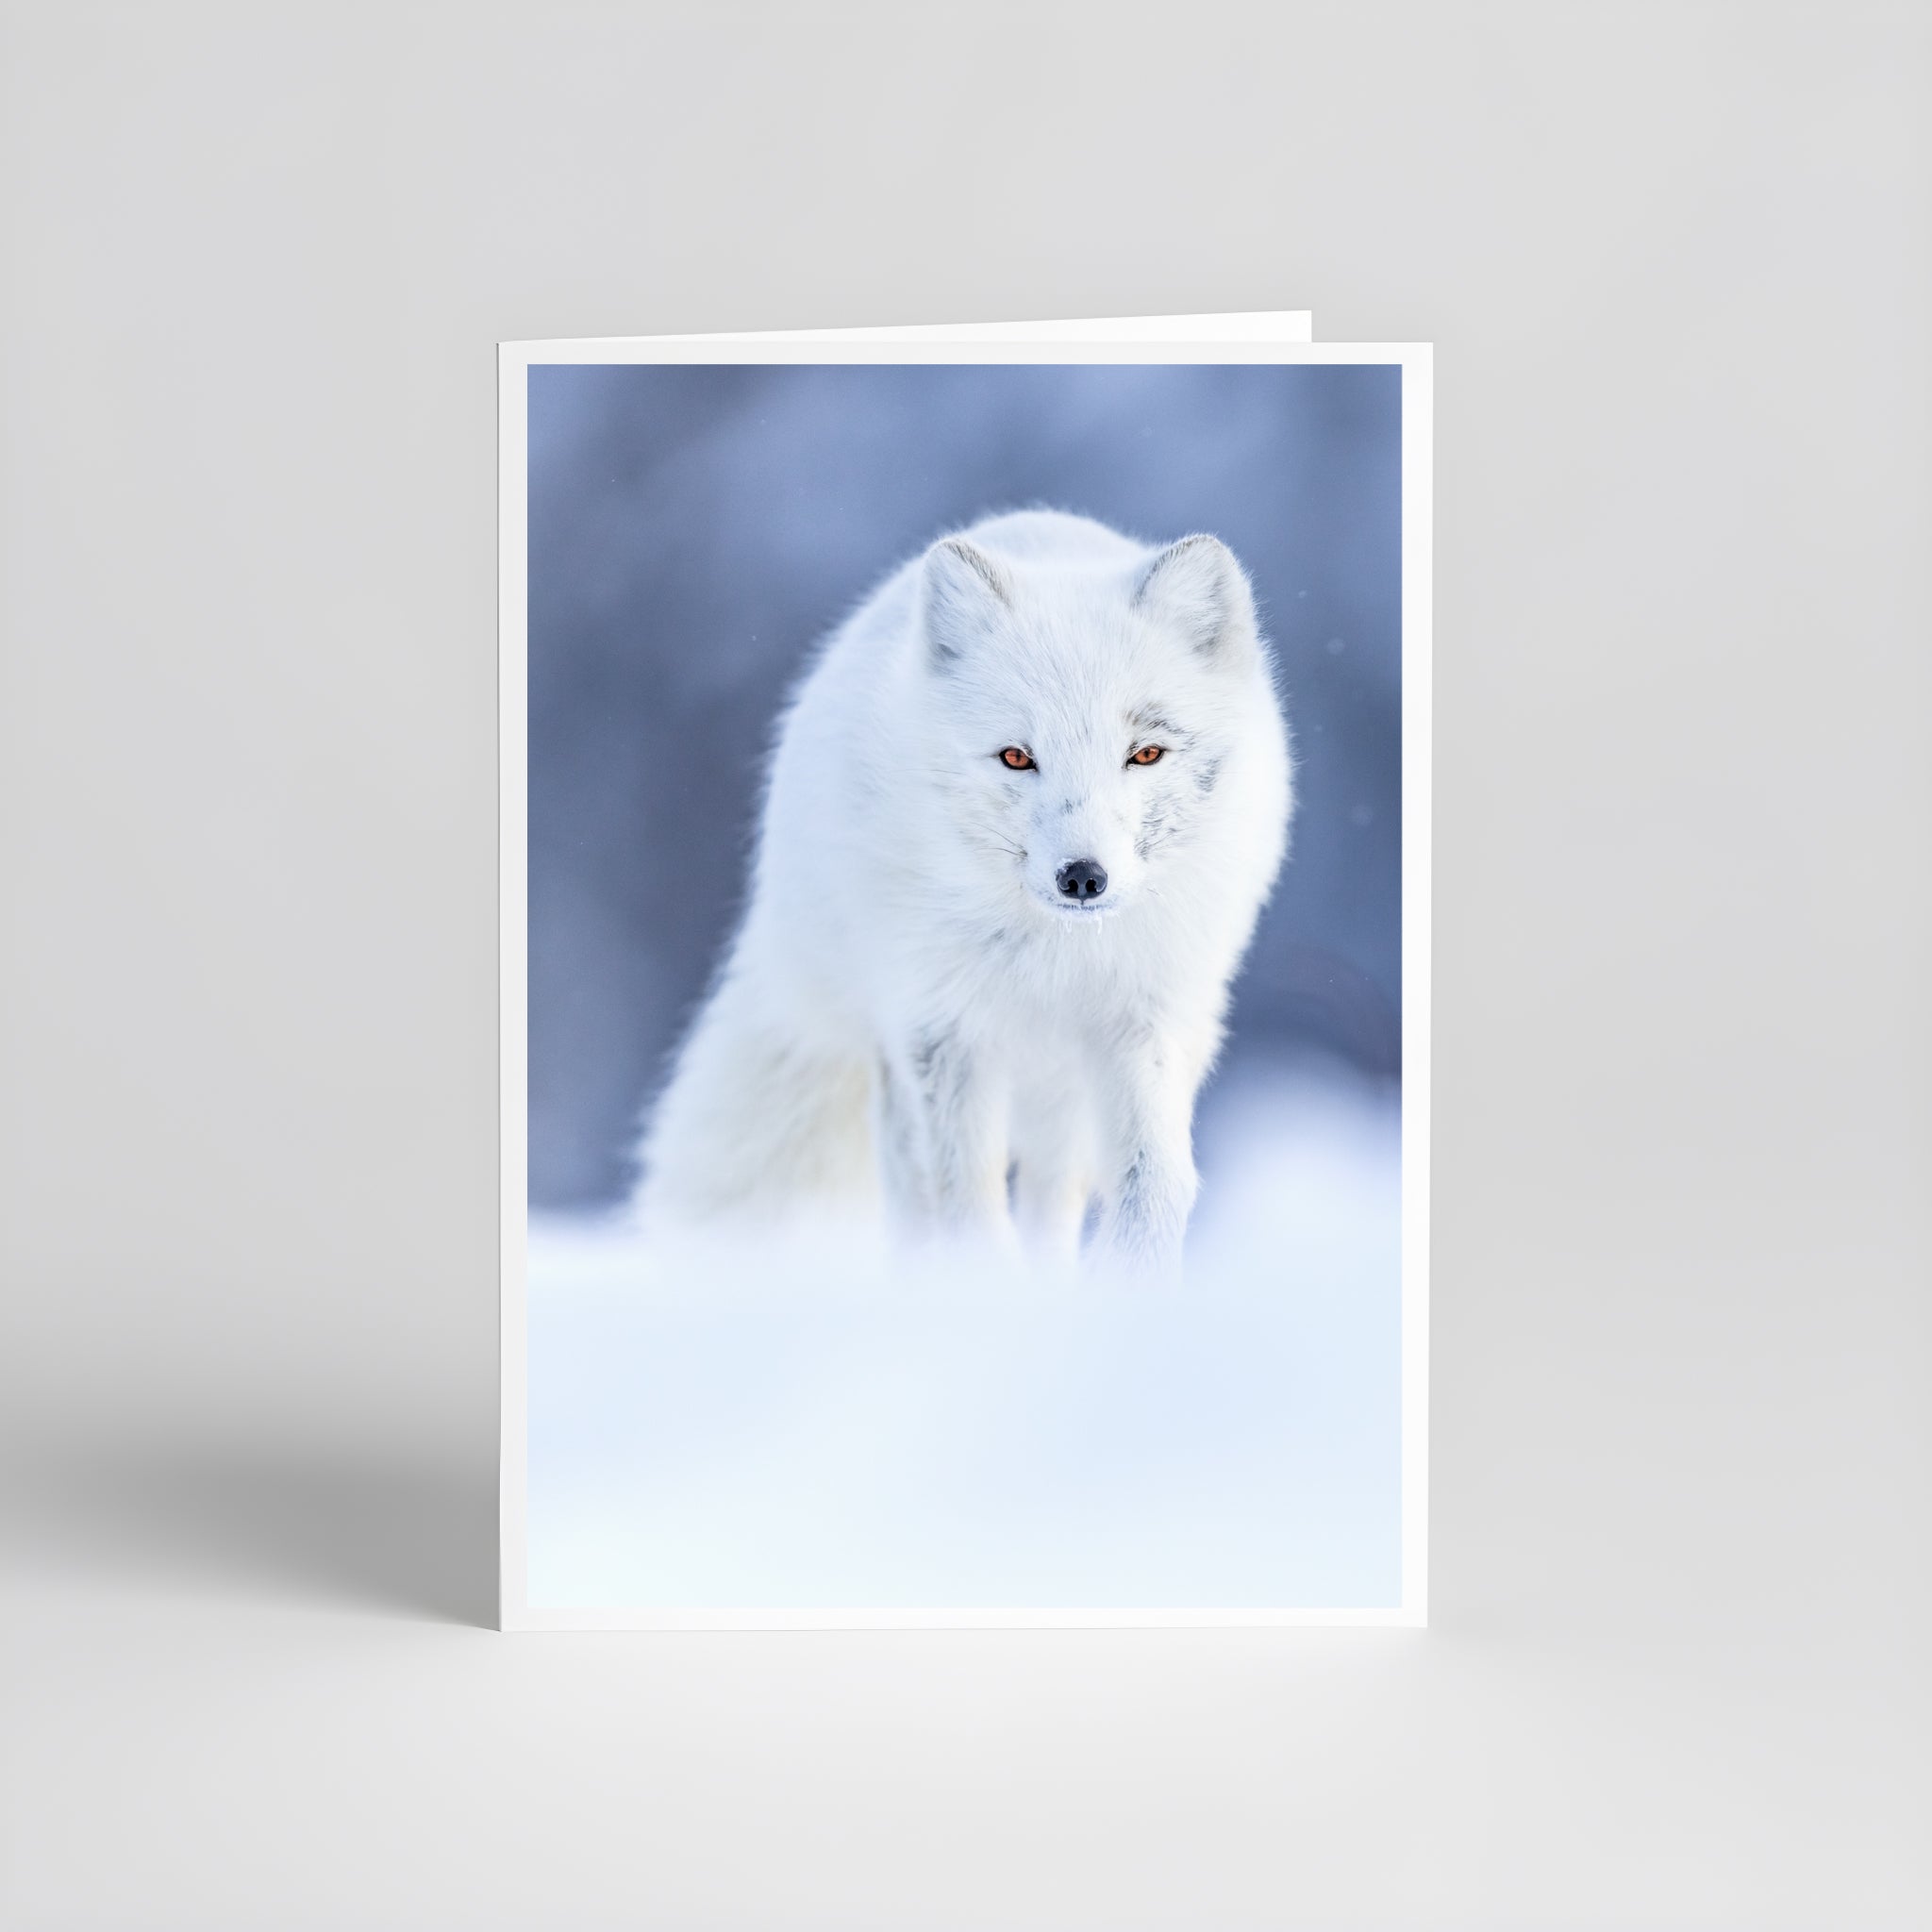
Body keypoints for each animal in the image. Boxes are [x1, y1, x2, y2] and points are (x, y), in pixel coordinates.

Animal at [633, 509, 1294, 1275]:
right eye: (1017, 756)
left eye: (1146, 754)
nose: (1083, 877)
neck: (1057, 956)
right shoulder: (944, 1031)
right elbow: (963, 1199)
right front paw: (979, 1288)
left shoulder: (1147, 1021)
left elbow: (1154, 1182)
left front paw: (1128, 1283)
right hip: (897, 1049)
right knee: (913, 1190)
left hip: (1063, 1089)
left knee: (1051, 1193)